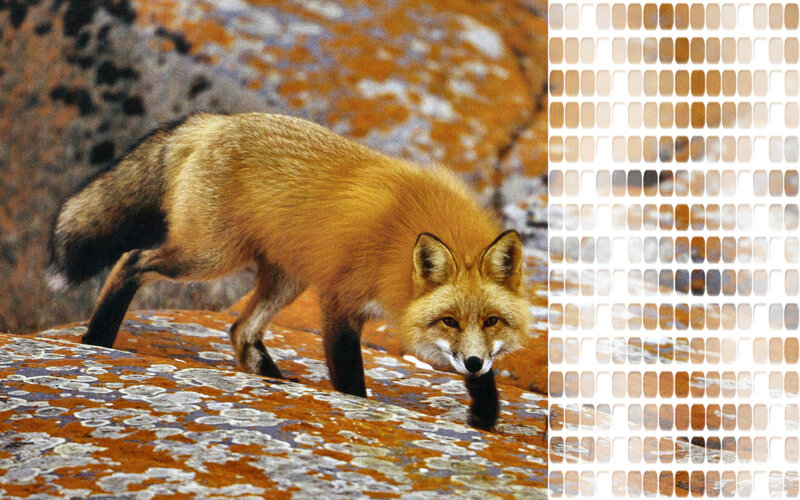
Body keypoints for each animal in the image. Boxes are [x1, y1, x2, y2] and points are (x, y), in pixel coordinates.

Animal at [48, 112, 530, 429]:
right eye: (449, 321)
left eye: (492, 321)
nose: (471, 362)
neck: (401, 238)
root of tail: (215, 120)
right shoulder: (340, 299)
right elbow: (349, 376)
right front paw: (357, 409)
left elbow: (487, 379)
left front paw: (485, 415)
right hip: (210, 257)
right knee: (131, 261)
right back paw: (97, 338)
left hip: (286, 277)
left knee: (240, 330)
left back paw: (276, 382)